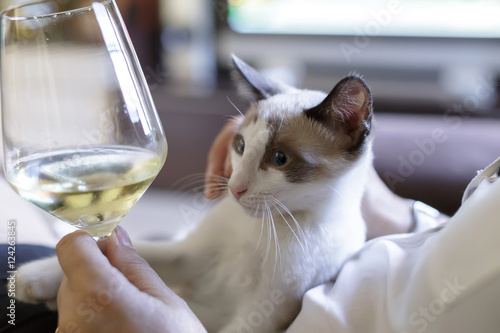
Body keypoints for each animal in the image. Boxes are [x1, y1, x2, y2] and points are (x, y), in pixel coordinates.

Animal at [14, 55, 376, 330]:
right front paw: (34, 277)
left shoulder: (263, 312)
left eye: (280, 159)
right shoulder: (189, 256)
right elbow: (146, 250)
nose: (235, 188)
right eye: (240, 146)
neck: (261, 230)